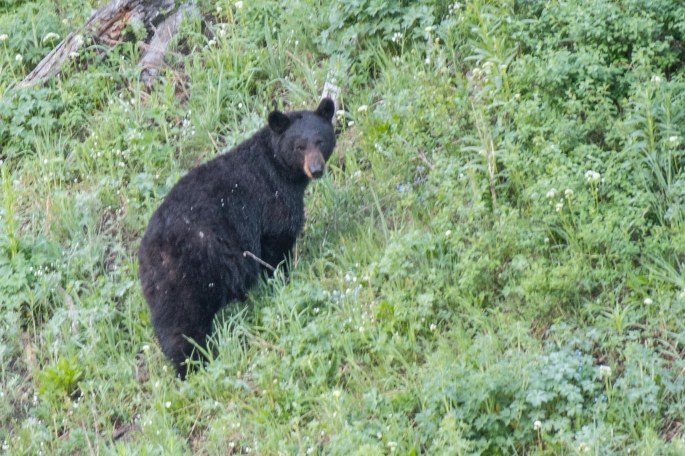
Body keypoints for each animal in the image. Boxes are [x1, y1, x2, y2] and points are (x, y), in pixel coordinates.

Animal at [138, 98, 336, 378]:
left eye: (320, 141)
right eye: (299, 146)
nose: (316, 169)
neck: (277, 167)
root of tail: (147, 253)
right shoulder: (271, 200)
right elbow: (276, 241)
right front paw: (282, 278)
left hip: (163, 285)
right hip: (189, 269)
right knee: (183, 322)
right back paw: (194, 362)